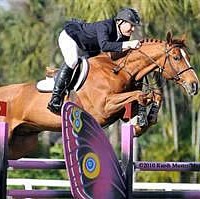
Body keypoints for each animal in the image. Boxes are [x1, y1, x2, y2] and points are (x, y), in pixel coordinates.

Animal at [0, 33, 198, 160]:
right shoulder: (104, 108)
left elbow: (152, 95)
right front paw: (142, 119)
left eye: (187, 56)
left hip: (23, 143)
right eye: (176, 58)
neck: (118, 70)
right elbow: (140, 94)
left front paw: (146, 119)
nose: (195, 85)